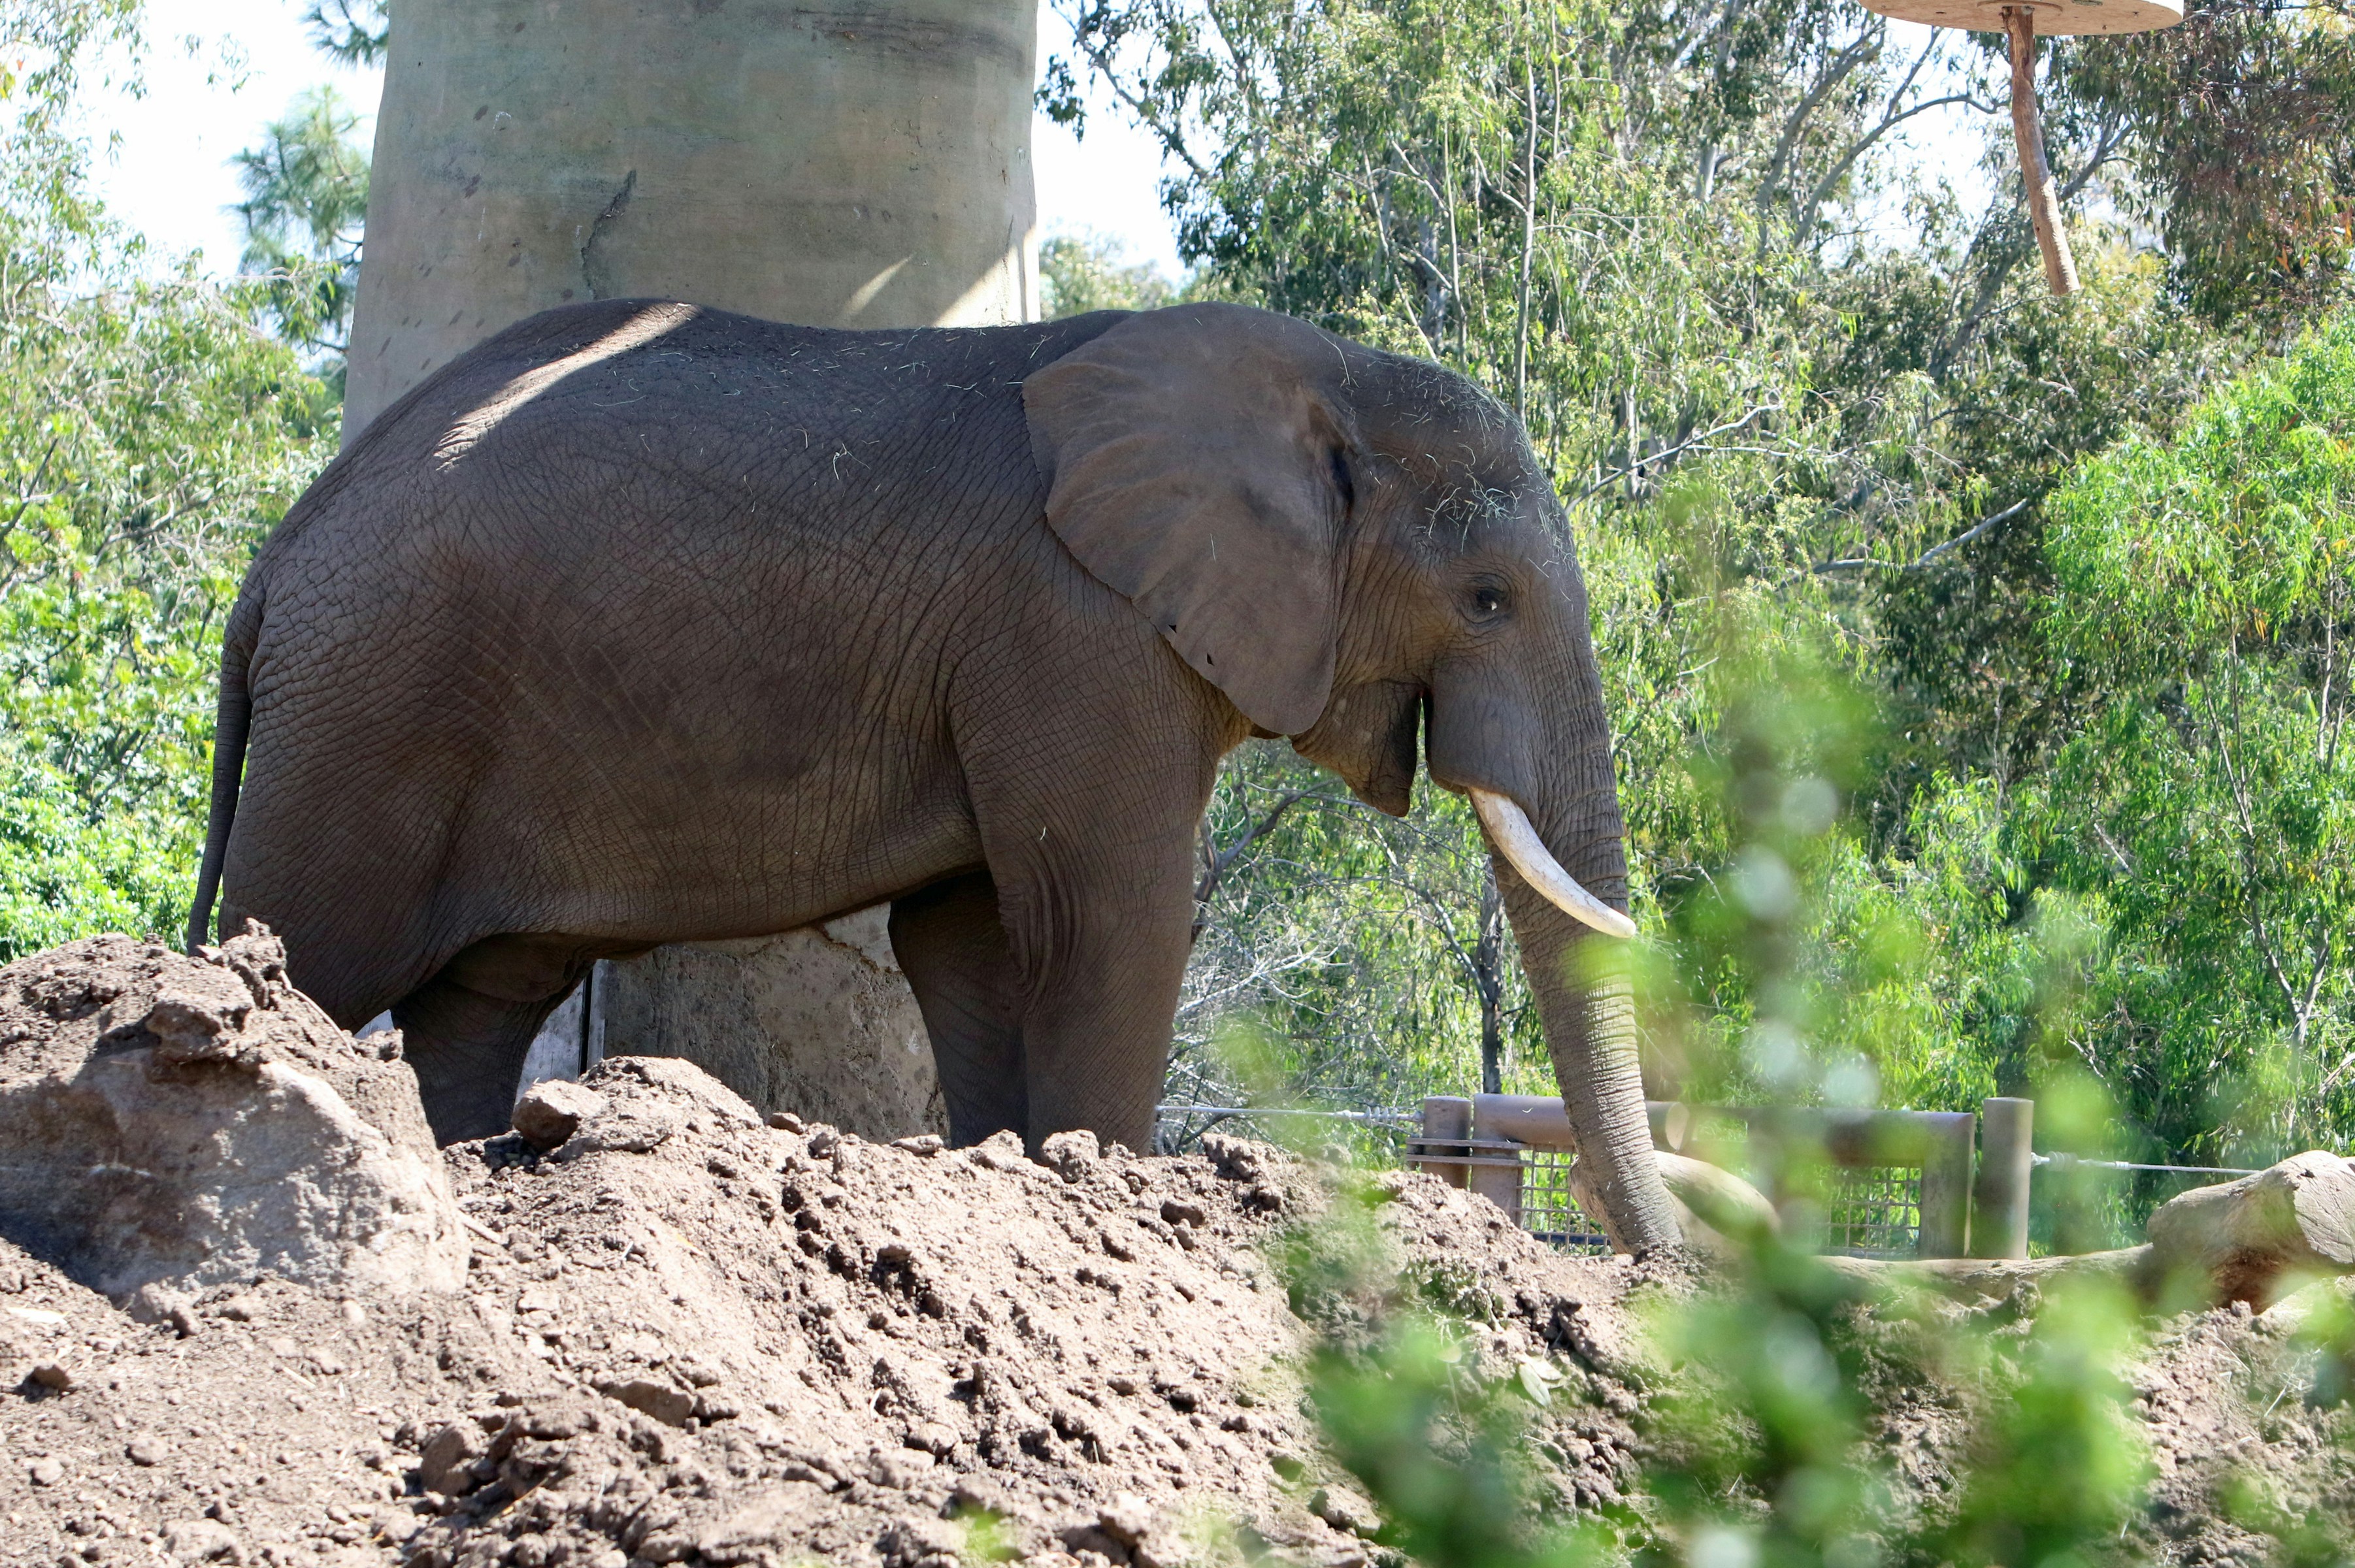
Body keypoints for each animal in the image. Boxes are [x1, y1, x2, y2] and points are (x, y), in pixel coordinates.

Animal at [186, 298, 1683, 1254]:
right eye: (1486, 601)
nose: (1666, 1266)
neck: (1327, 372)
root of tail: (274, 561)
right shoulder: (1076, 626)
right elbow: (1112, 918)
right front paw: (1105, 1184)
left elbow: (967, 935)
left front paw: (1020, 1168)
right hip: (369, 717)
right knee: (314, 948)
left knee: (482, 995)